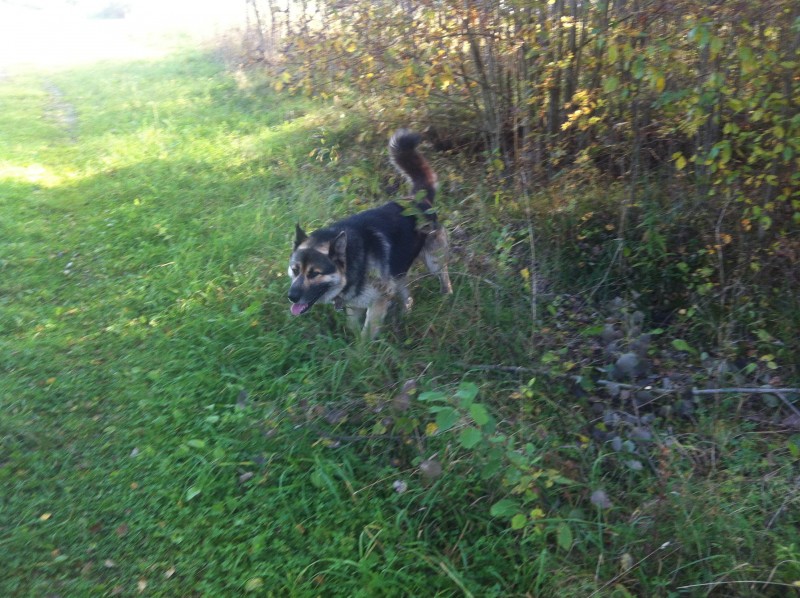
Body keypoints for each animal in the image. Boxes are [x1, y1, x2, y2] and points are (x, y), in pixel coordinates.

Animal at [287, 129, 452, 339]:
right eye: (295, 270)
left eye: (314, 273)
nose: (291, 297)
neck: (352, 261)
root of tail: (418, 199)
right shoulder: (355, 305)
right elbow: (353, 328)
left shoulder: (377, 302)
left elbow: (366, 336)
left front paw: (364, 347)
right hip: (398, 272)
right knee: (408, 296)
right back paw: (406, 313)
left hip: (433, 262)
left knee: (444, 276)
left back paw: (446, 296)